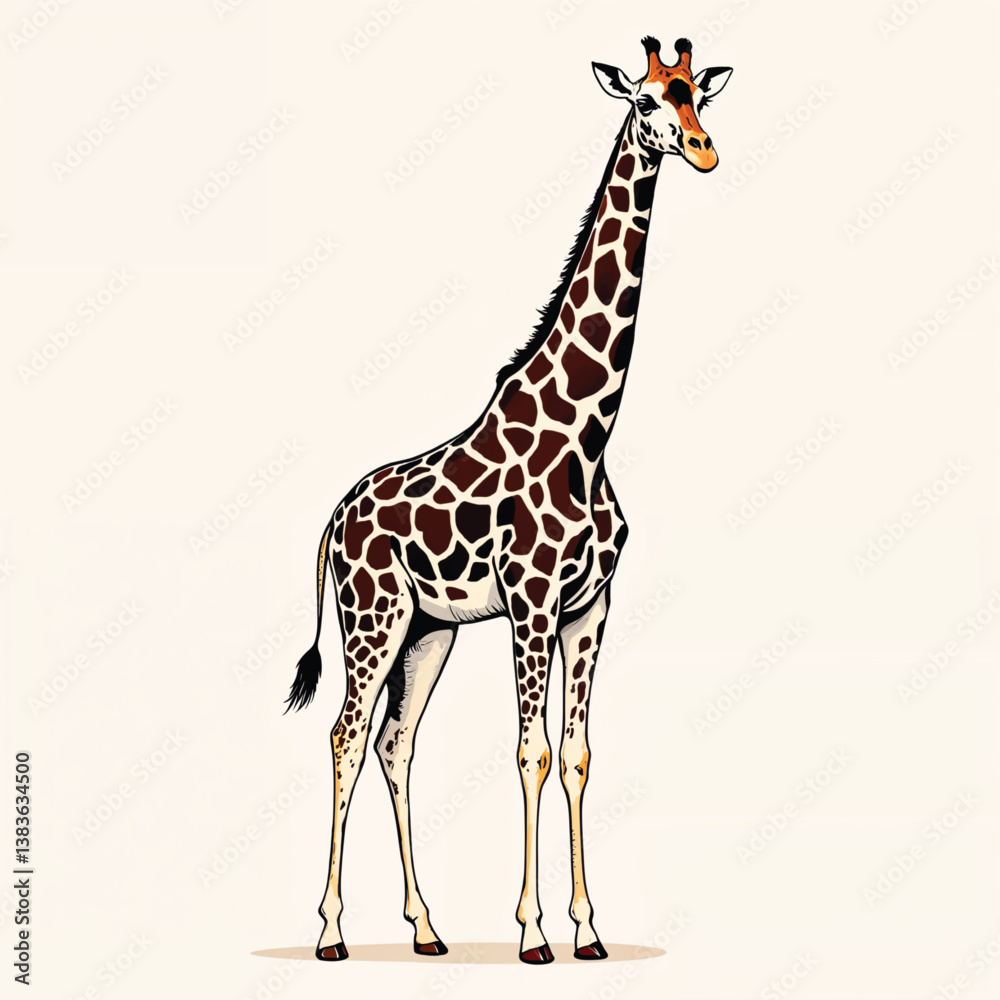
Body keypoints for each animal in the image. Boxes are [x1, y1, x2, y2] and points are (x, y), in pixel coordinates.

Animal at [287, 35, 733, 964]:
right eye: (646, 101)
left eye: (700, 97)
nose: (704, 150)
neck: (588, 433)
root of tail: (334, 518)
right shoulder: (530, 603)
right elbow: (530, 752)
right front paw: (532, 935)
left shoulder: (589, 606)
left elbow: (577, 753)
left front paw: (589, 931)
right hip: (372, 621)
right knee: (347, 735)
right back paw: (333, 932)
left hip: (429, 630)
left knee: (395, 742)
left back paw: (426, 929)